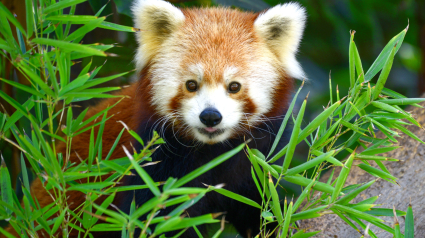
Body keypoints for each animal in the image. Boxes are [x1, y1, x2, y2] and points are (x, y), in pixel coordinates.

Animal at [3, 0, 304, 237]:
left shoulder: (255, 161)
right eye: (191, 85)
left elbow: (261, 206)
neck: (211, 151)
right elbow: (147, 219)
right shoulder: (149, 161)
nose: (210, 116)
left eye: (234, 86)